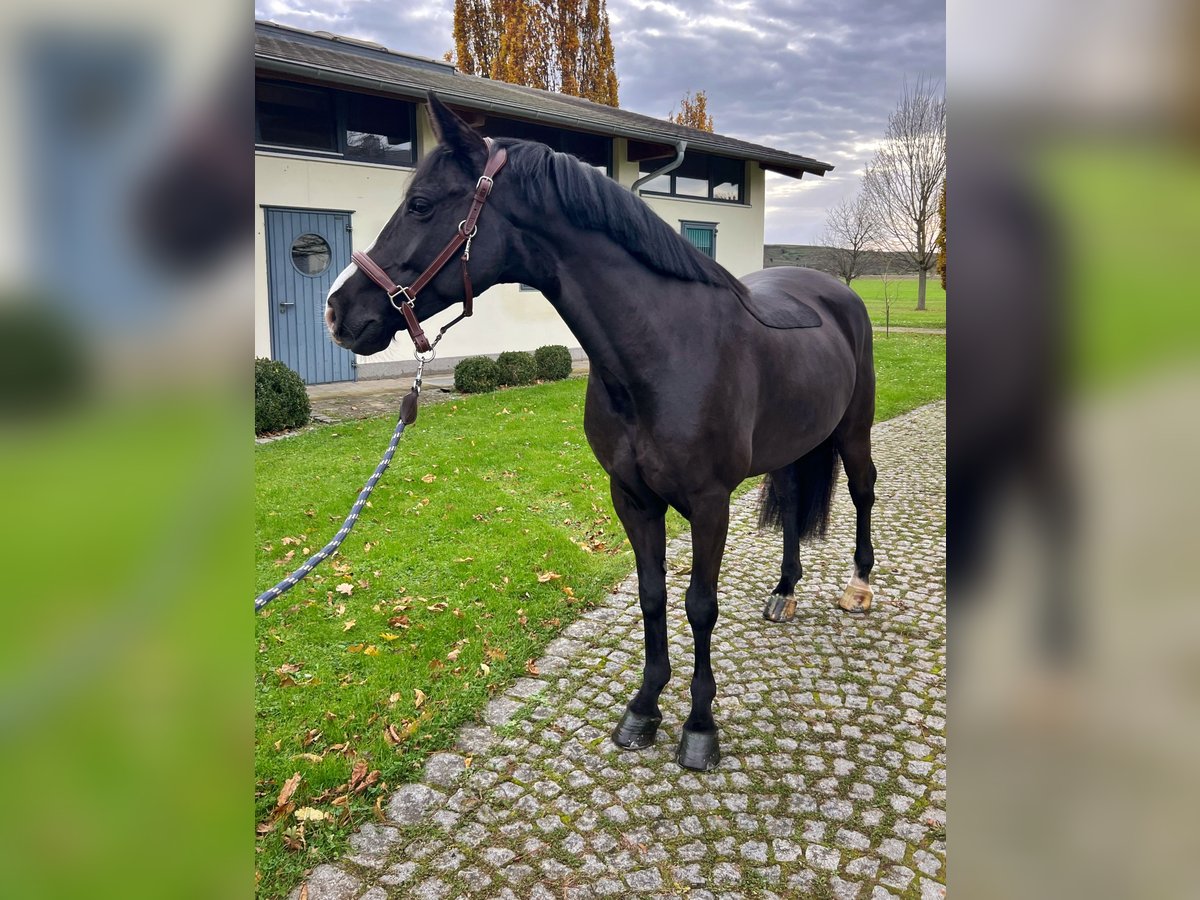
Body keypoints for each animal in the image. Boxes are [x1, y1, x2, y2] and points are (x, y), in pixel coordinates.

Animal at [324, 98, 878, 777]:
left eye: (422, 205)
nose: (338, 312)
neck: (663, 349)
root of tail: (837, 293)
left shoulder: (710, 504)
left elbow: (700, 606)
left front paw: (699, 727)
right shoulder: (631, 497)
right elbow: (651, 596)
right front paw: (643, 709)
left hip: (853, 432)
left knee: (862, 491)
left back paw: (858, 587)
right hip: (797, 443)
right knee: (796, 501)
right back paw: (784, 593)